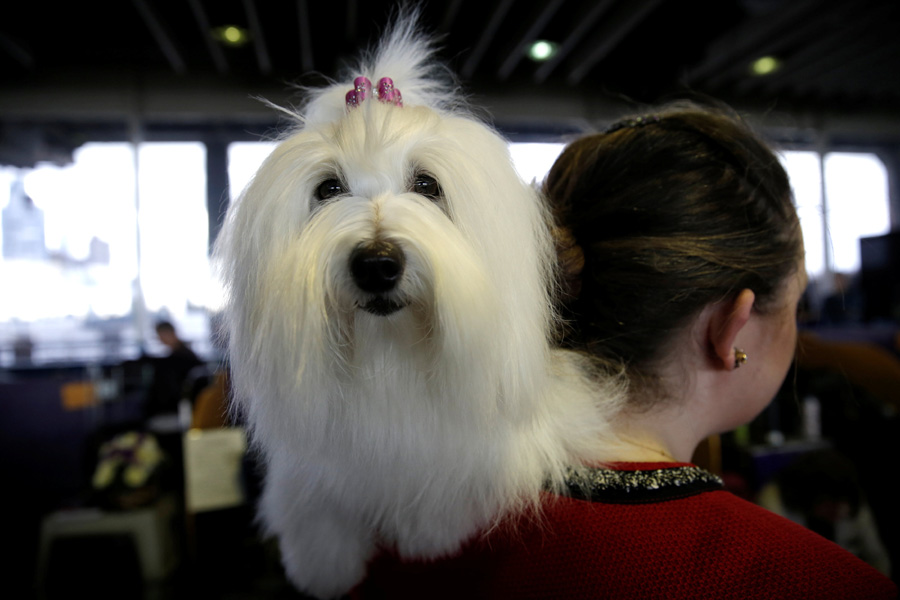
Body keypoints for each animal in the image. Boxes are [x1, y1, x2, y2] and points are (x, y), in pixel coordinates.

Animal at [217, 16, 624, 596]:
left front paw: (428, 538)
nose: (375, 263)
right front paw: (326, 569)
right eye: (328, 188)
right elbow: (320, 515)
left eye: (428, 185)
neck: (391, 356)